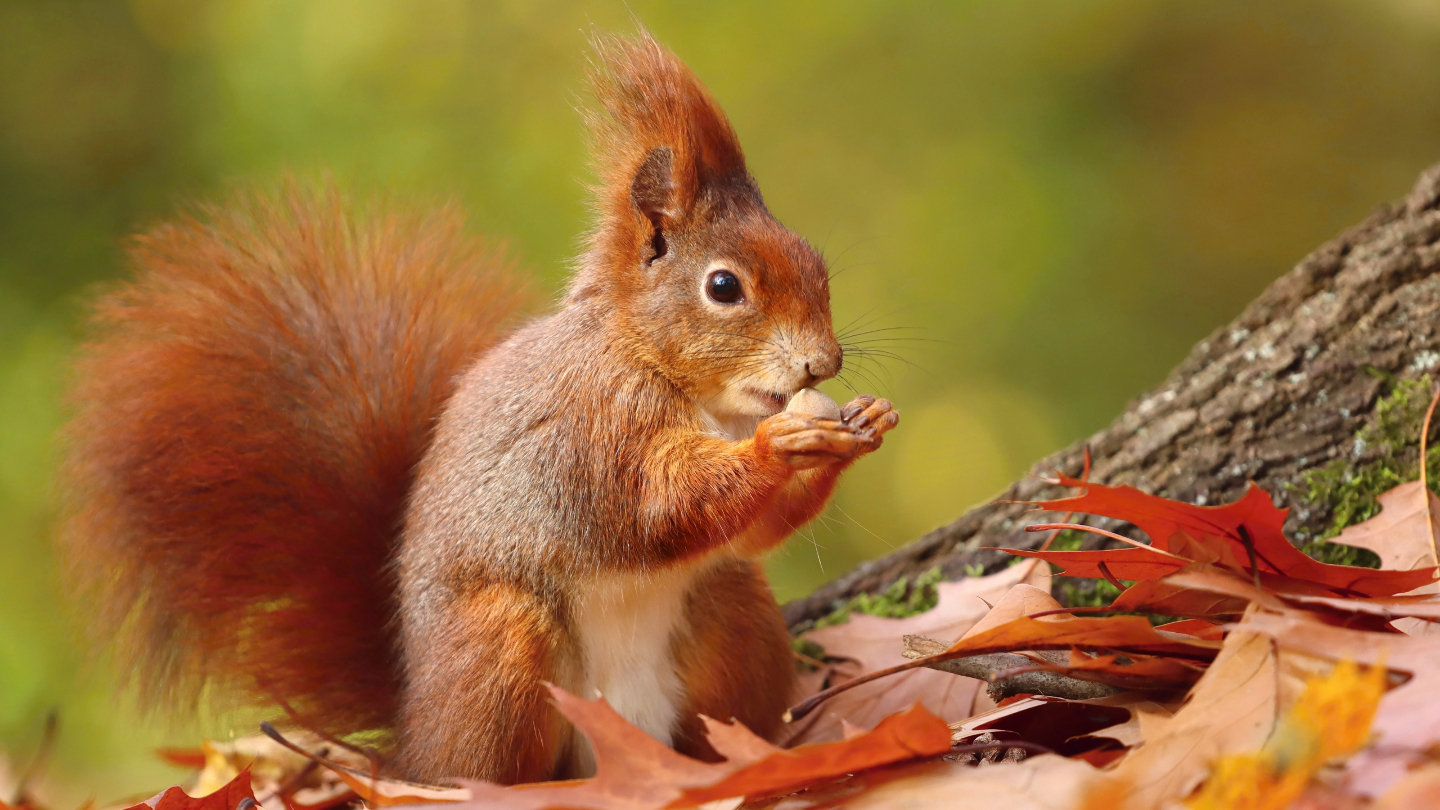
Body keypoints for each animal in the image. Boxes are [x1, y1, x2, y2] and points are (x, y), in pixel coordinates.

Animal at [58, 31, 899, 784]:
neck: (689, 389)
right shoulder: (591, 429)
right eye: (724, 287)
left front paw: (862, 426)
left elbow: (751, 532)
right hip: (499, 645)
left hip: (731, 617)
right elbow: (659, 504)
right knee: (482, 767)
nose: (824, 362)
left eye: (816, 264)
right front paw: (779, 445)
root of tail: (413, 729)